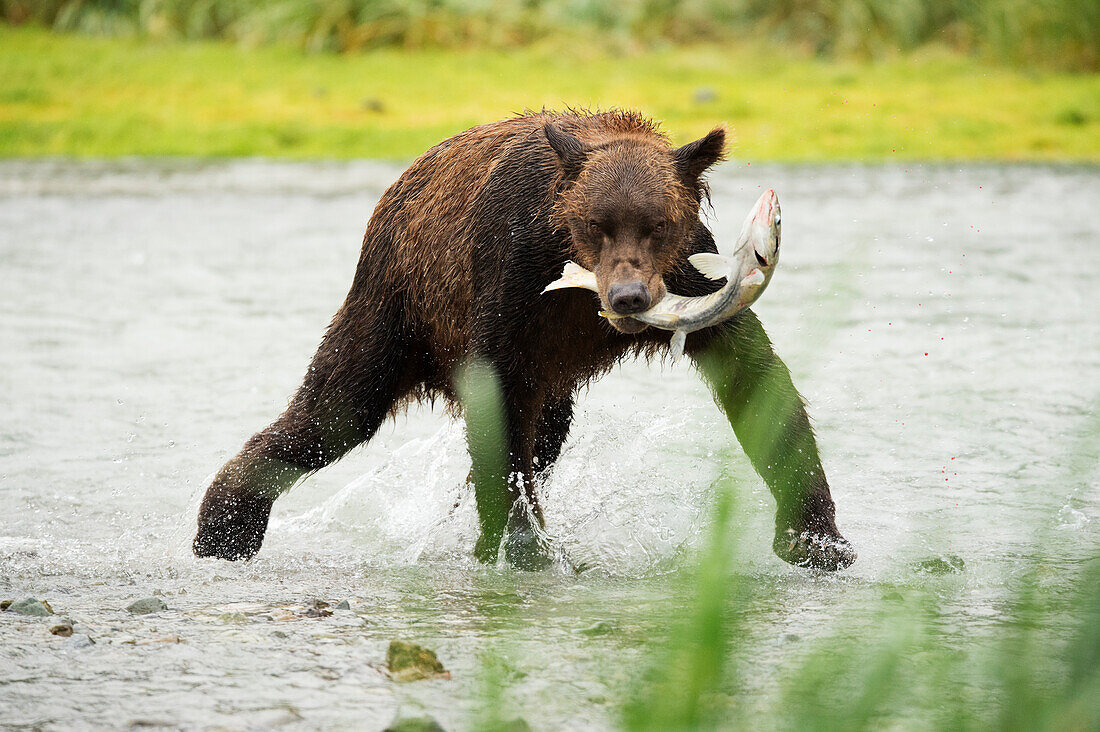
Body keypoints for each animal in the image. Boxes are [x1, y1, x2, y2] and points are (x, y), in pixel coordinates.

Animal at [193, 110, 853, 572]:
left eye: (657, 223)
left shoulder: (695, 279)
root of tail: (398, 188)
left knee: (546, 436)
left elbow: (756, 381)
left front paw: (817, 537)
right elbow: (497, 406)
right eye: (595, 223)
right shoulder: (513, 277)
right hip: (396, 302)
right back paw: (225, 525)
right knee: (336, 408)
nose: (629, 297)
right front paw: (522, 545)